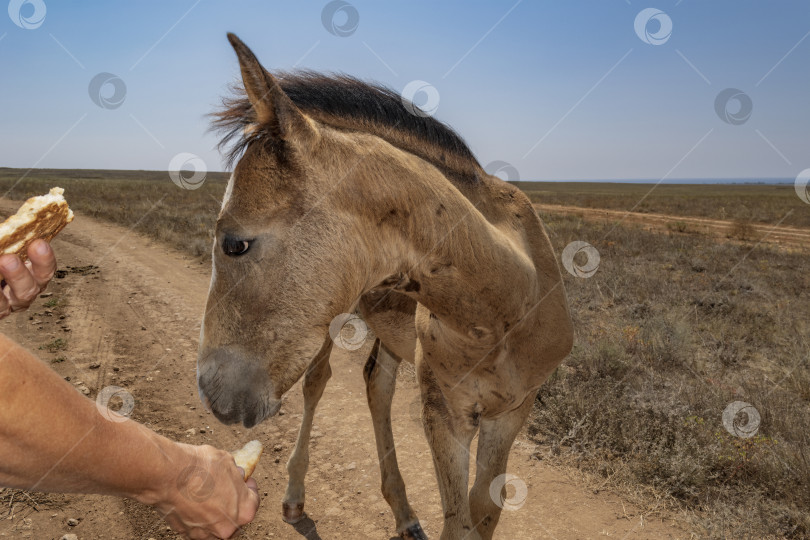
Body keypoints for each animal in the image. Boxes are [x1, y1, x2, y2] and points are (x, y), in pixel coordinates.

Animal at [198, 33, 572, 540]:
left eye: (236, 244)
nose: (210, 390)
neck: (506, 306)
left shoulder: (512, 413)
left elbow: (484, 514)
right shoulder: (445, 415)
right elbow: (460, 524)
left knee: (377, 384)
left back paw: (404, 513)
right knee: (318, 382)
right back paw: (296, 496)